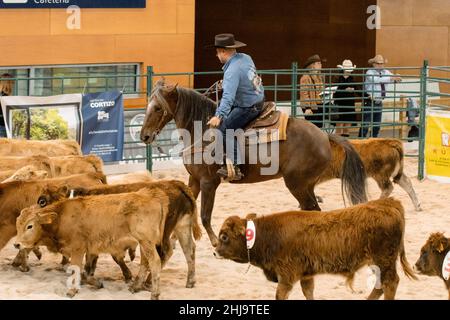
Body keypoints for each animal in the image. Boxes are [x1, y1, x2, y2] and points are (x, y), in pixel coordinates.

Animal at [14, 182, 200, 300]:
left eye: (30, 226)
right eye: (18, 224)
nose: (17, 243)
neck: (63, 213)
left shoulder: (79, 248)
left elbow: (80, 269)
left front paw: (73, 290)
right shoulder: (91, 248)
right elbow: (88, 270)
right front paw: (97, 282)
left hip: (150, 240)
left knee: (156, 259)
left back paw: (152, 291)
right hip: (180, 228)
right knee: (187, 251)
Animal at [142, 81, 370, 246]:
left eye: (158, 108)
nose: (144, 135)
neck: (202, 133)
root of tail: (324, 135)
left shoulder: (209, 182)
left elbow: (205, 215)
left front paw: (215, 242)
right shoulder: (194, 180)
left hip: (297, 184)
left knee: (313, 210)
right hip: (306, 185)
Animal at [214, 198, 418, 300]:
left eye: (224, 236)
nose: (214, 251)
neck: (269, 234)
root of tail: (388, 203)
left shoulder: (286, 276)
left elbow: (280, 295)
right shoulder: (306, 275)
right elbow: (308, 292)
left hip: (384, 261)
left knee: (390, 284)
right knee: (380, 286)